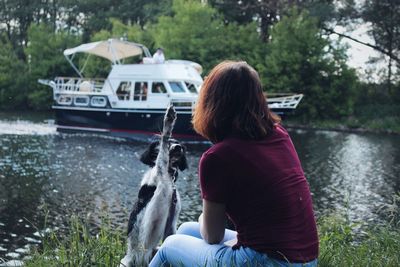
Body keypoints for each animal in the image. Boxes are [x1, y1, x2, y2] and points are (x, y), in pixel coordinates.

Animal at [120, 106, 188, 267]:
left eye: (179, 143)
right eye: (171, 144)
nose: (179, 148)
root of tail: (131, 257)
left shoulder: (170, 228)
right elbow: (162, 153)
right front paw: (168, 121)